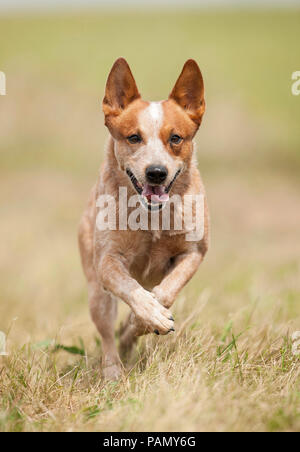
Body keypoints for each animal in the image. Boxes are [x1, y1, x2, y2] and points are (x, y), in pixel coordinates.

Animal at [78, 58, 210, 380]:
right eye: (134, 137)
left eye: (175, 138)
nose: (156, 172)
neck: (152, 221)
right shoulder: (107, 260)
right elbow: (131, 290)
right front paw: (151, 318)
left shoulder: (194, 252)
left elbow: (165, 292)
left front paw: (144, 322)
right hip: (96, 291)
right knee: (106, 331)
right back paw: (113, 371)